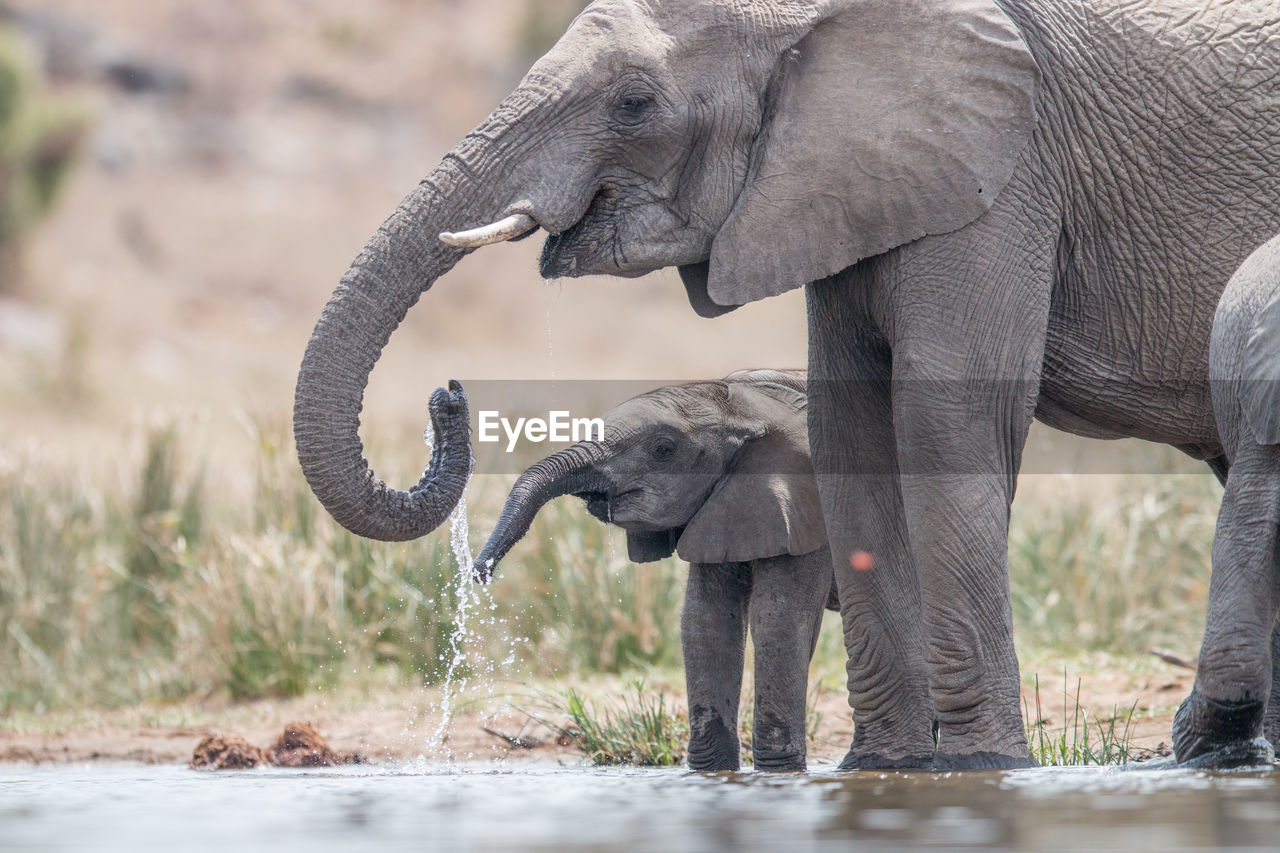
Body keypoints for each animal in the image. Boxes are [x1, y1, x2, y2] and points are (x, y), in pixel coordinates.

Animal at [476, 368, 834, 768]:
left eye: (663, 449)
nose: (480, 572)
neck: (751, 404)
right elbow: (706, 622)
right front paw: (714, 772)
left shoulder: (808, 506)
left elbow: (778, 621)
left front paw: (779, 773)